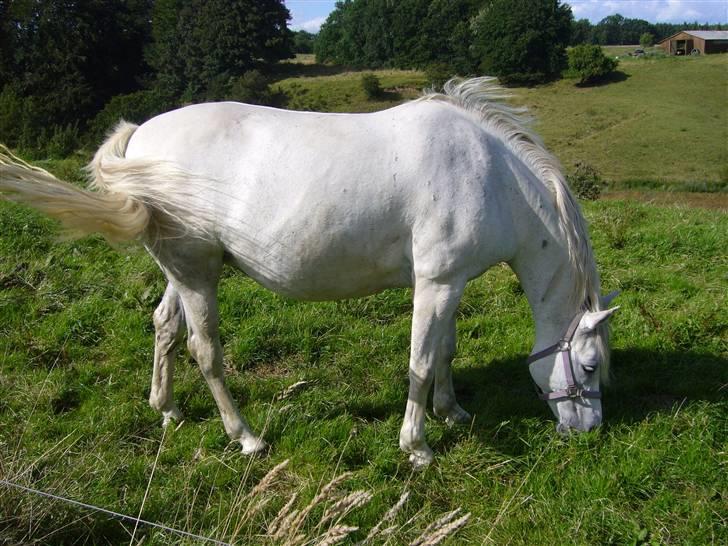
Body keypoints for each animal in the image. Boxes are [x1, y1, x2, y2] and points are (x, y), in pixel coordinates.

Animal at [0, 77, 616, 468]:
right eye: (589, 366)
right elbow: (419, 363)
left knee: (165, 328)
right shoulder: (437, 283)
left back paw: (168, 409)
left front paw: (453, 412)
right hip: (198, 274)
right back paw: (245, 437)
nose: (590, 433)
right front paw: (416, 446)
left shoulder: (451, 282)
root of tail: (139, 139)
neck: (489, 173)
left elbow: (445, 350)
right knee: (205, 350)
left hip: (181, 271)